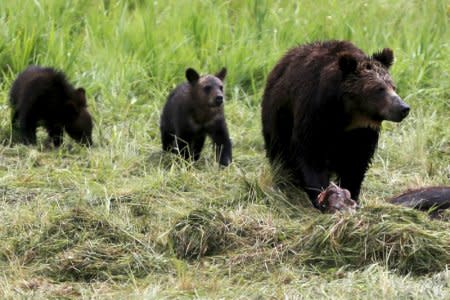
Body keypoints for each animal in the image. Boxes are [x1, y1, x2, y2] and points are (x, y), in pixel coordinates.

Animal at [260, 40, 412, 211]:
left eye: (393, 86)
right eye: (379, 89)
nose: (403, 108)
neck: (346, 115)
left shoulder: (362, 133)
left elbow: (356, 162)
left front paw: (351, 196)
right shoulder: (313, 115)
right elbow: (311, 154)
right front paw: (322, 197)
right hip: (278, 117)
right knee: (280, 154)